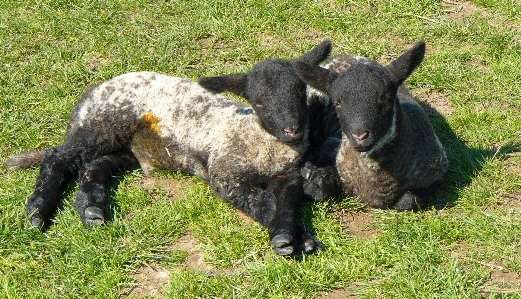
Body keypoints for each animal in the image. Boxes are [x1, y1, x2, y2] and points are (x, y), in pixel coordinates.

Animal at [6, 39, 332, 255]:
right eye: (259, 102)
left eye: (300, 90)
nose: (293, 128)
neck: (264, 145)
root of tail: (88, 96)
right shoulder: (226, 176)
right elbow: (264, 204)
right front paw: (298, 240)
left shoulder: (288, 175)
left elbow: (285, 204)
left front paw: (290, 234)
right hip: (104, 124)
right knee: (58, 157)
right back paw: (38, 211)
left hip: (126, 146)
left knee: (93, 165)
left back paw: (91, 209)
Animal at [294, 41, 448, 211]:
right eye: (337, 102)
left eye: (386, 98)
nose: (360, 136)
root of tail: (345, 56)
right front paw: (312, 174)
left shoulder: (437, 173)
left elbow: (410, 201)